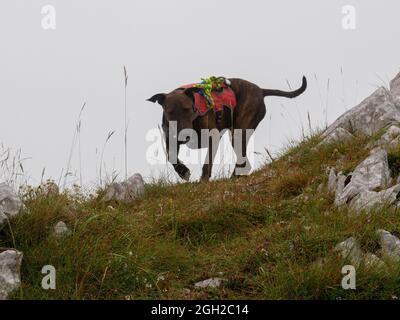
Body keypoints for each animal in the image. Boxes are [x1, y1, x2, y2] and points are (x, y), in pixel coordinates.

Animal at [147, 75, 306, 180]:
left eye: (187, 109)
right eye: (170, 112)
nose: (184, 135)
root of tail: (261, 90)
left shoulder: (213, 138)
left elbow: (207, 164)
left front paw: (202, 181)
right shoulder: (170, 139)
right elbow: (171, 157)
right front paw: (183, 171)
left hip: (239, 132)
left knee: (243, 162)